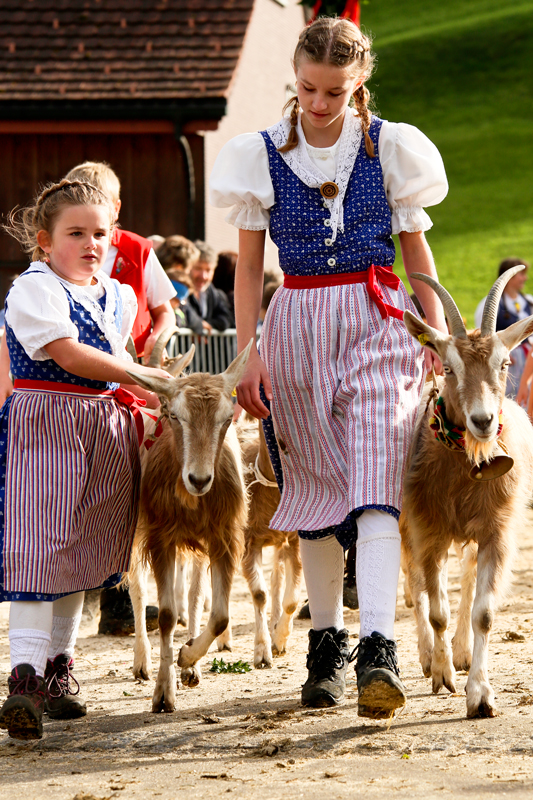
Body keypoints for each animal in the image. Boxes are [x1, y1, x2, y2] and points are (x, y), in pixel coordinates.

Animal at [125, 342, 251, 712]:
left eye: (227, 419)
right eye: (175, 416)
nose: (198, 479)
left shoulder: (223, 537)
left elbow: (218, 613)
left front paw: (187, 657)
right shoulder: (160, 537)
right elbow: (166, 615)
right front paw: (164, 693)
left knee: (195, 594)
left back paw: (191, 667)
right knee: (138, 589)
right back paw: (142, 662)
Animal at [238, 418, 302, 668]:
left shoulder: (294, 540)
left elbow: (291, 600)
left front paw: (279, 639)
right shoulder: (249, 542)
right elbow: (259, 594)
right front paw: (262, 652)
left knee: (277, 576)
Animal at [402, 268, 533, 720]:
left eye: (505, 362)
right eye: (449, 367)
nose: (483, 421)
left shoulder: (496, 532)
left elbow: (484, 613)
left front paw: (480, 694)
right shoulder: (429, 531)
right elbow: (436, 609)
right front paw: (442, 674)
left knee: (469, 576)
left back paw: (459, 653)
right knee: (415, 587)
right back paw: (430, 656)